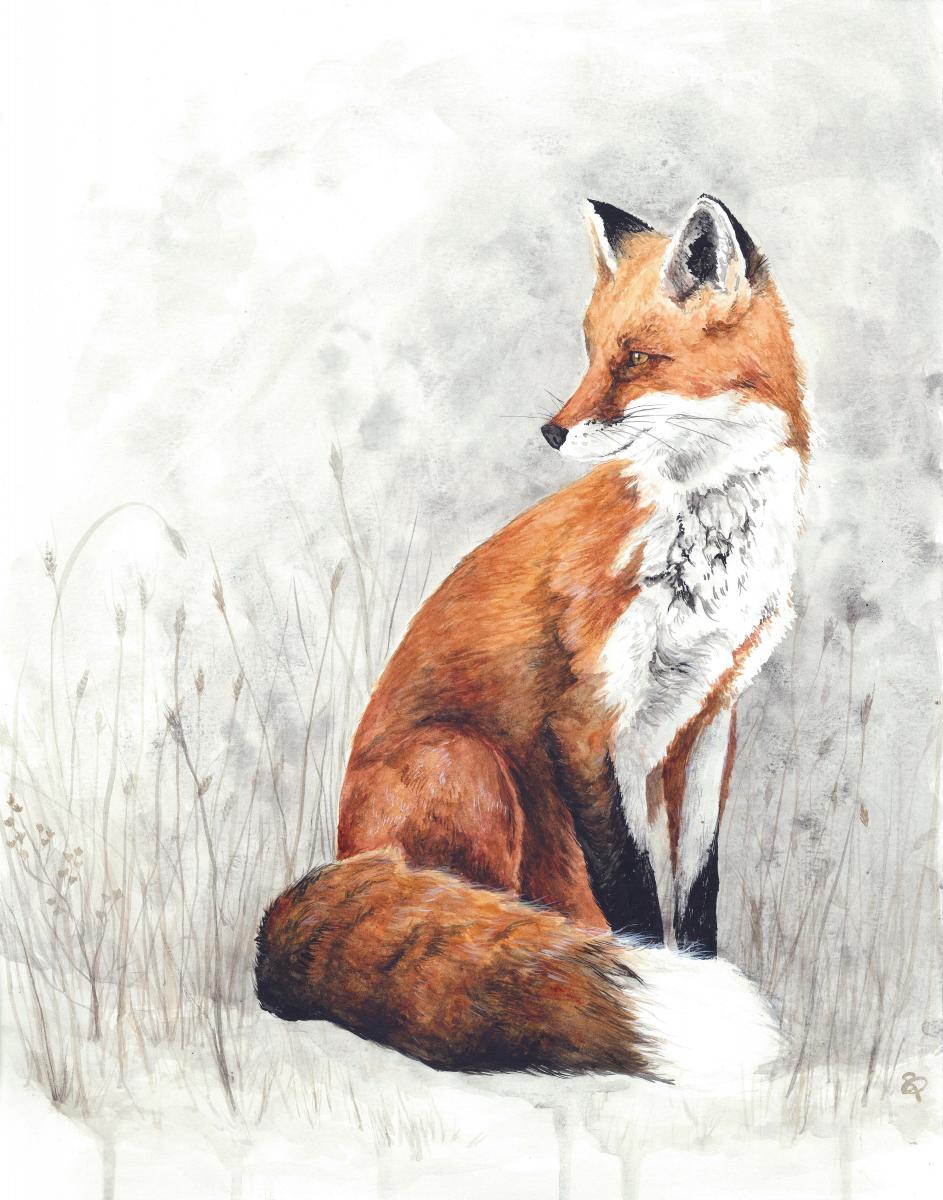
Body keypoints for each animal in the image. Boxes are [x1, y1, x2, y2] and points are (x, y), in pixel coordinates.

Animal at [255, 194, 810, 1086]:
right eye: (590, 353)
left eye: (637, 359)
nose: (552, 432)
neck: (707, 557)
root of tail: (344, 860)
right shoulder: (589, 725)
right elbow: (629, 890)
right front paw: (651, 973)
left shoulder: (704, 723)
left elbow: (694, 891)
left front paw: (697, 966)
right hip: (467, 762)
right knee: (471, 912)